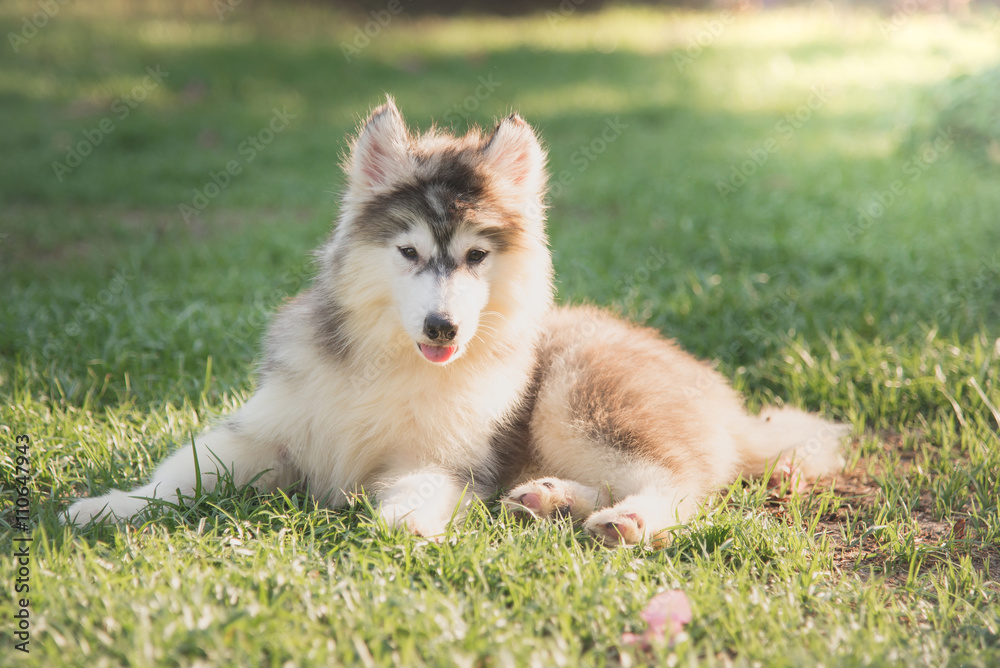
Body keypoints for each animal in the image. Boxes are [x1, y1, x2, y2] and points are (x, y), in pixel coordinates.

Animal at [64, 100, 844, 548]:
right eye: (408, 252)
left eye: (475, 256)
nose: (442, 327)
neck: (396, 363)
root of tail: (726, 400)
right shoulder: (268, 426)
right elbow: (184, 469)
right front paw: (110, 506)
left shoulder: (444, 459)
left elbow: (415, 493)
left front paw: (407, 528)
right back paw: (546, 500)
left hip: (578, 397)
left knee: (678, 481)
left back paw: (627, 520)